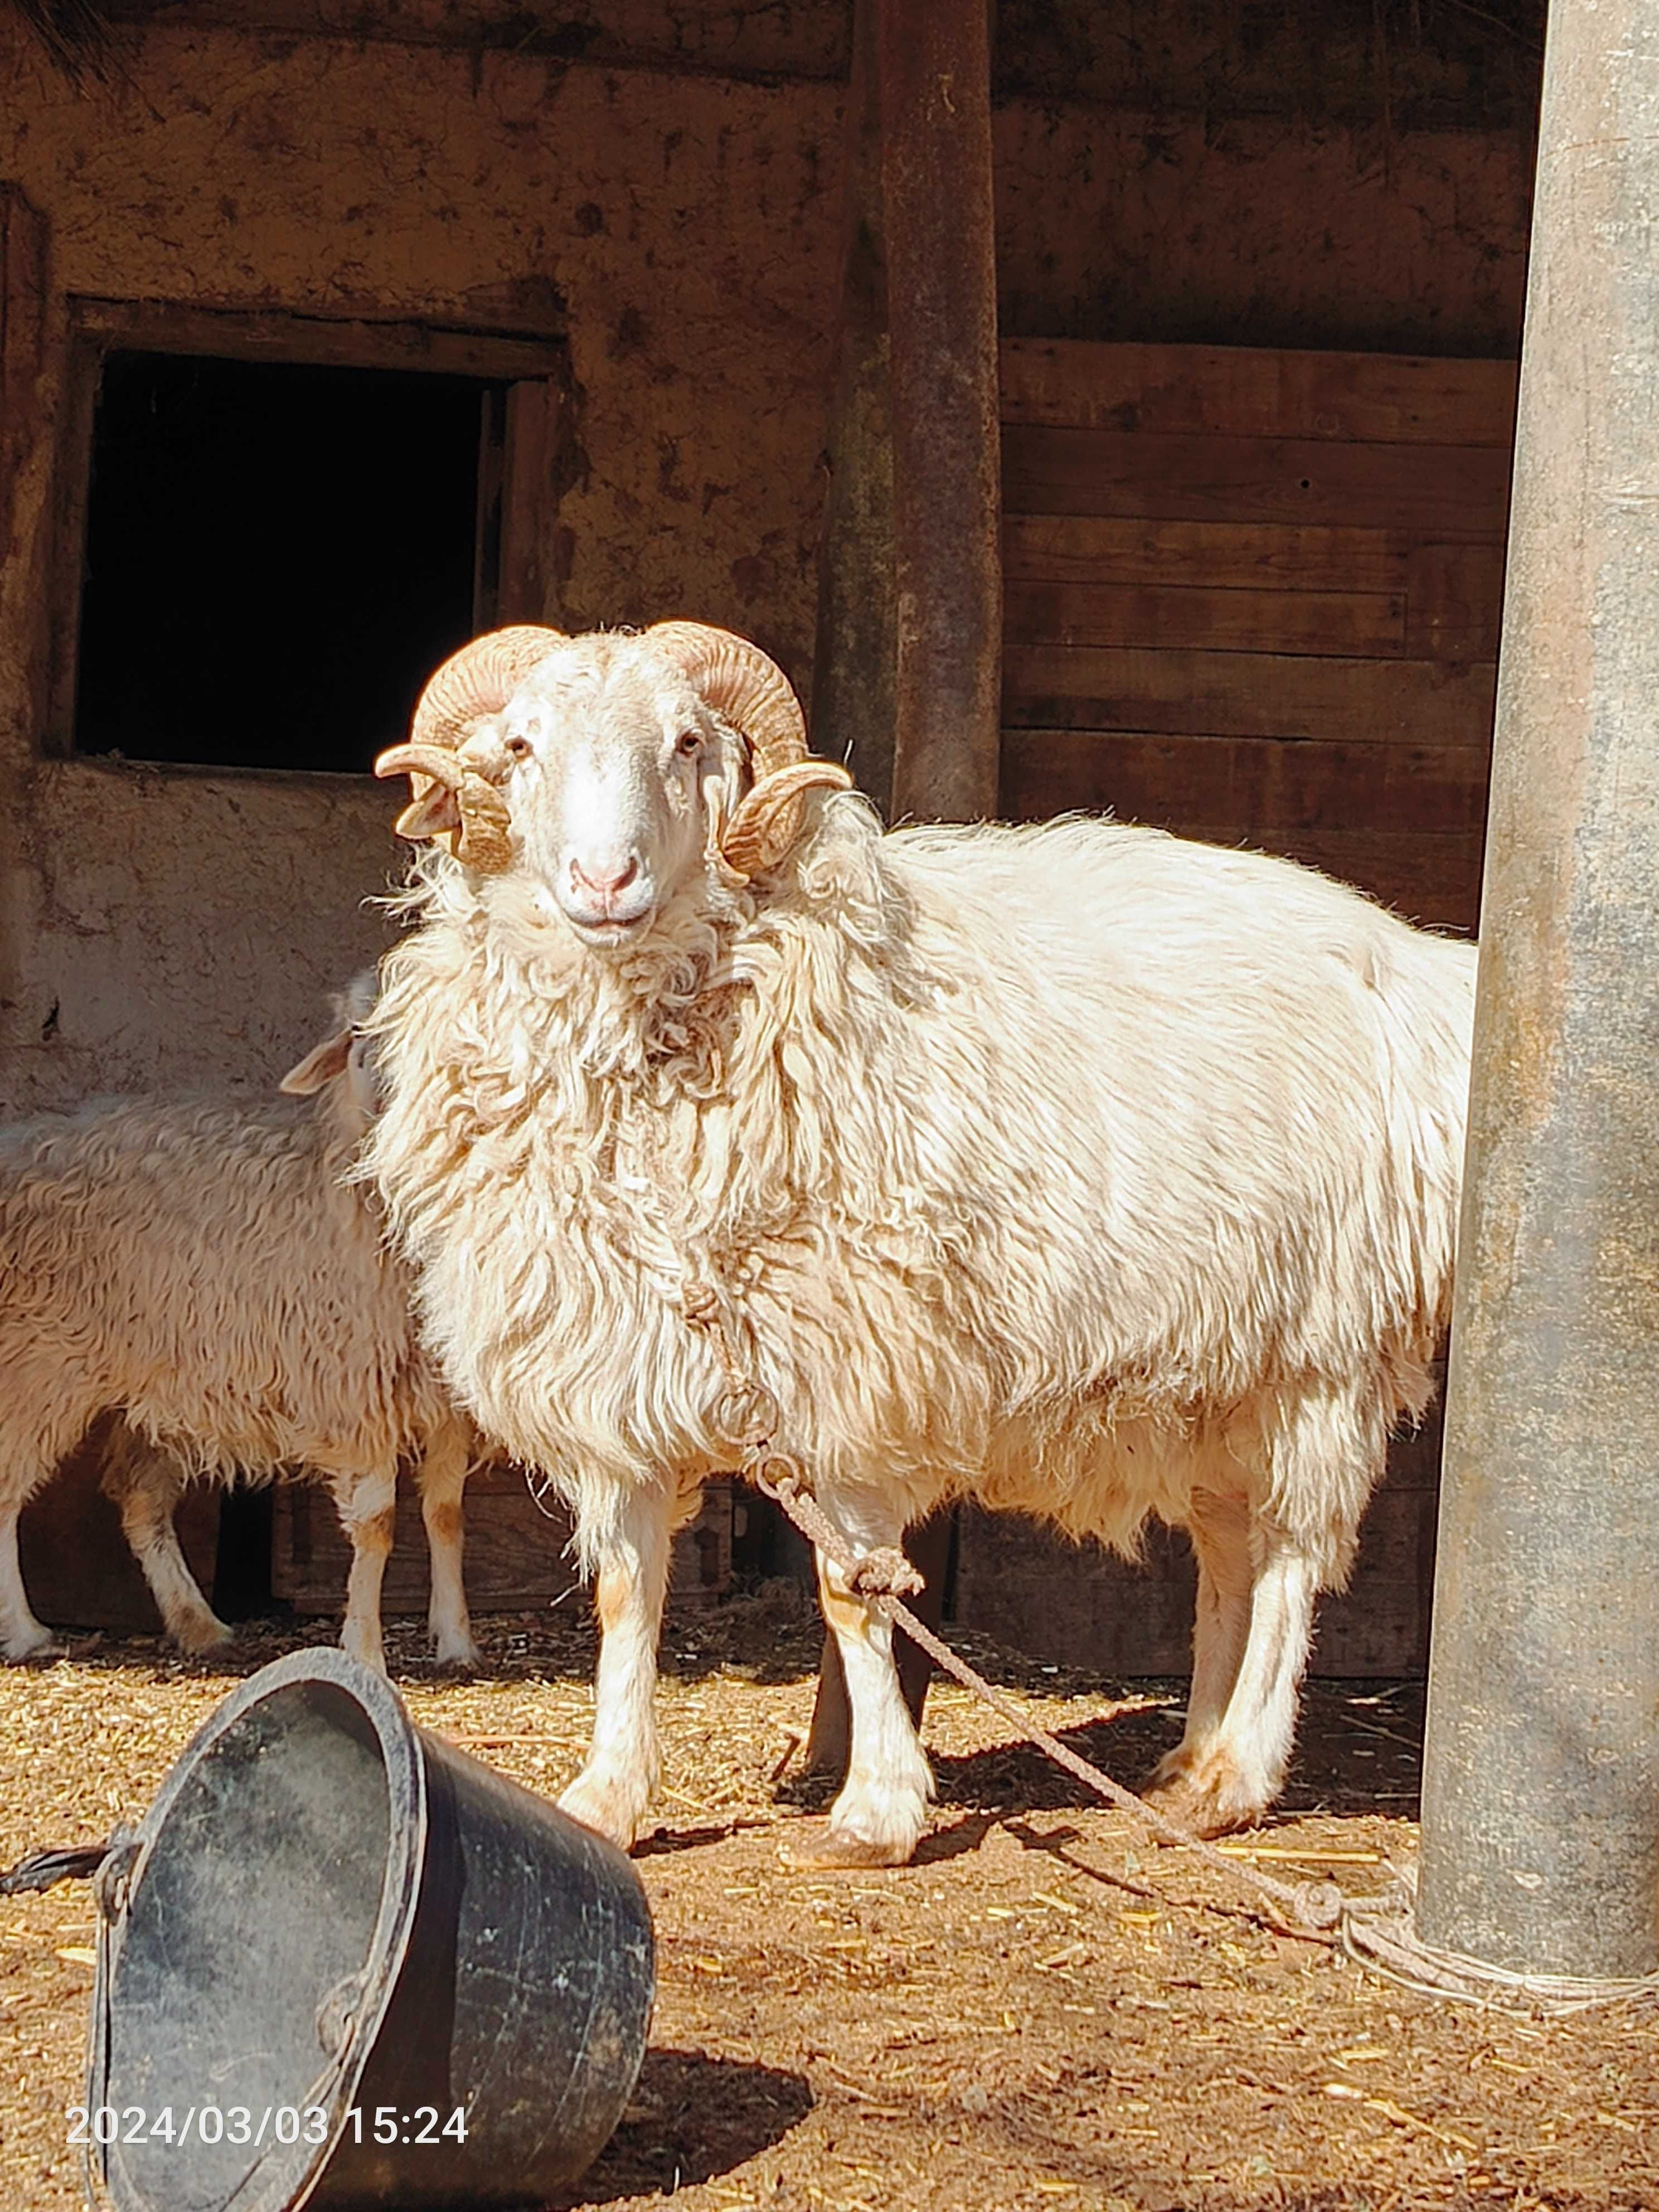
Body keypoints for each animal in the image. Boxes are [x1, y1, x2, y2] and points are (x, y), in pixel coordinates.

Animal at [0, 977, 480, 1663]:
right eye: (354, 1032)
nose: (379, 1081)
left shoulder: (445, 1397)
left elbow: (446, 1514)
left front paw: (457, 1639)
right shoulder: (352, 1387)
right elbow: (378, 1525)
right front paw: (364, 1652)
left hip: (151, 1384)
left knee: (138, 1499)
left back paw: (198, 1622)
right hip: (38, 1364)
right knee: (7, 1491)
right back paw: (26, 1630)